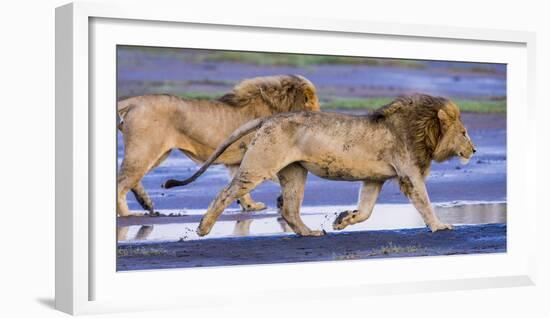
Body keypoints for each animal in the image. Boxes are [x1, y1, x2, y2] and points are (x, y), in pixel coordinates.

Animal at [118, 76, 322, 217]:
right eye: (313, 102)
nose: (321, 116)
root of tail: (135, 100)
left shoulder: (240, 160)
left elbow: (241, 186)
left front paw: (250, 206)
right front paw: (279, 201)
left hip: (157, 154)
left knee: (130, 180)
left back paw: (146, 204)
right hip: (145, 151)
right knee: (121, 183)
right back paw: (128, 214)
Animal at [165, 94, 478, 236]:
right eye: (464, 132)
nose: (474, 149)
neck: (423, 130)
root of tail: (269, 118)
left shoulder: (374, 178)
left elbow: (366, 210)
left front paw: (343, 219)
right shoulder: (410, 174)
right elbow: (424, 202)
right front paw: (440, 226)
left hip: (295, 172)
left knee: (290, 209)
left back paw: (310, 232)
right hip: (260, 166)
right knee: (225, 193)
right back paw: (203, 228)